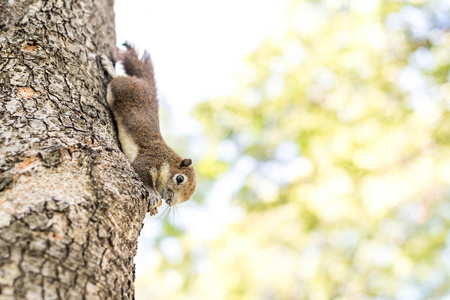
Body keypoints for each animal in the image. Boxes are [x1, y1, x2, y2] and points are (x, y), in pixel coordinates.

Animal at [102, 44, 197, 216]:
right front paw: (153, 195)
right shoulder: (150, 158)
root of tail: (148, 86)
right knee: (118, 79)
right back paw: (110, 68)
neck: (167, 158)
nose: (170, 201)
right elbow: (143, 173)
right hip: (121, 89)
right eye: (180, 179)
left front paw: (154, 208)